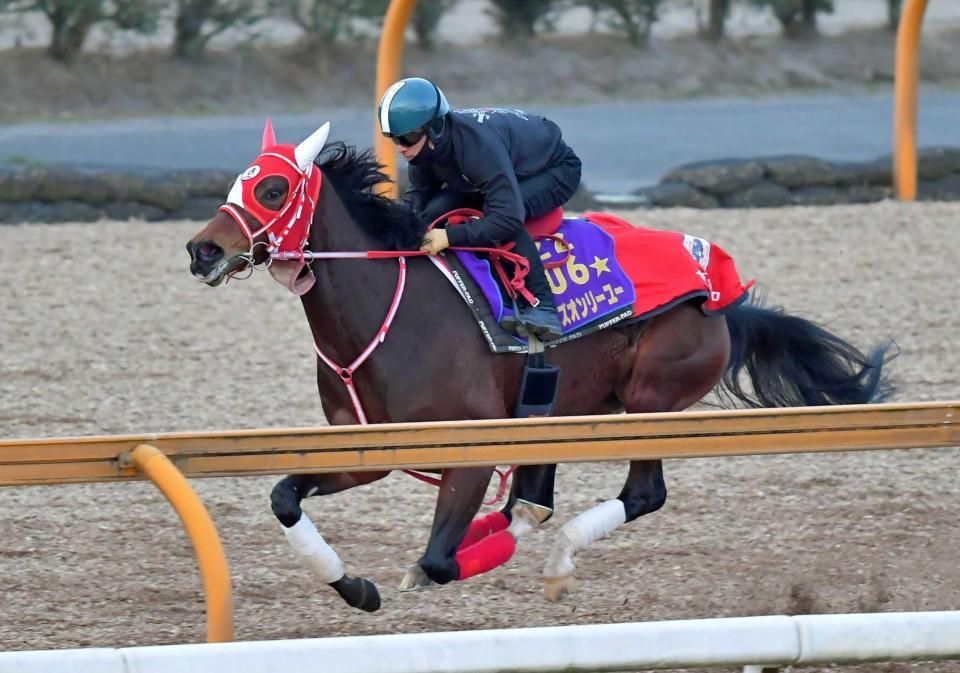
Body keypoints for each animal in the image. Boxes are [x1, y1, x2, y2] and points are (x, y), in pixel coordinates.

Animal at [186, 123, 892, 612]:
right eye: (238, 183)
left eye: (272, 188)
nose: (202, 249)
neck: (389, 312)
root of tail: (719, 291)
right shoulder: (370, 451)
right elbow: (284, 496)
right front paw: (356, 587)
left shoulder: (470, 448)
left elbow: (439, 560)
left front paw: (427, 567)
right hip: (563, 407)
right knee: (538, 496)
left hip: (650, 401)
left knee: (639, 494)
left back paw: (557, 559)